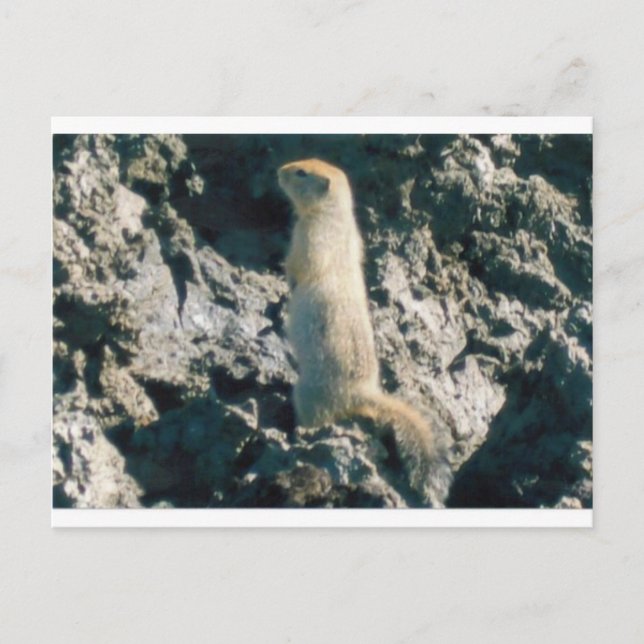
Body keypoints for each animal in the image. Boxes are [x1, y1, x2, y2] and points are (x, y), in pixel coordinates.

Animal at [277, 158, 451, 506]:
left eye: (302, 172)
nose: (279, 171)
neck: (335, 213)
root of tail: (363, 393)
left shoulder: (310, 238)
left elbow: (300, 264)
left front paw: (287, 280)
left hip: (308, 393)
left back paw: (300, 434)